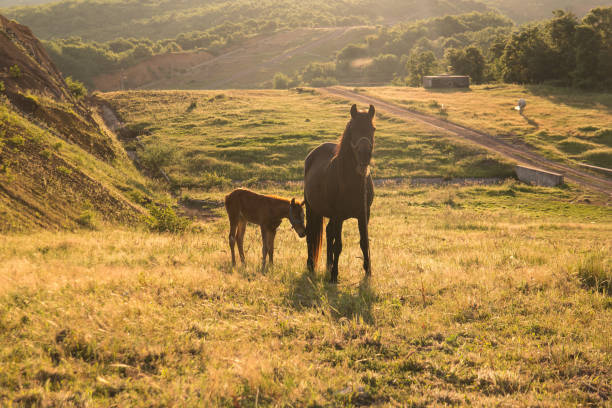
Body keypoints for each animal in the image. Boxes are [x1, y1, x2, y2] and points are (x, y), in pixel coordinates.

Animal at [304, 103, 376, 282]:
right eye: (353, 129)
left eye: (372, 129)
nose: (364, 156)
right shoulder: (338, 215)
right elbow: (339, 245)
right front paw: (334, 276)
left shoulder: (364, 214)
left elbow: (364, 242)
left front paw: (368, 272)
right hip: (312, 209)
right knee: (311, 235)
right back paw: (311, 265)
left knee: (329, 232)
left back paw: (329, 264)